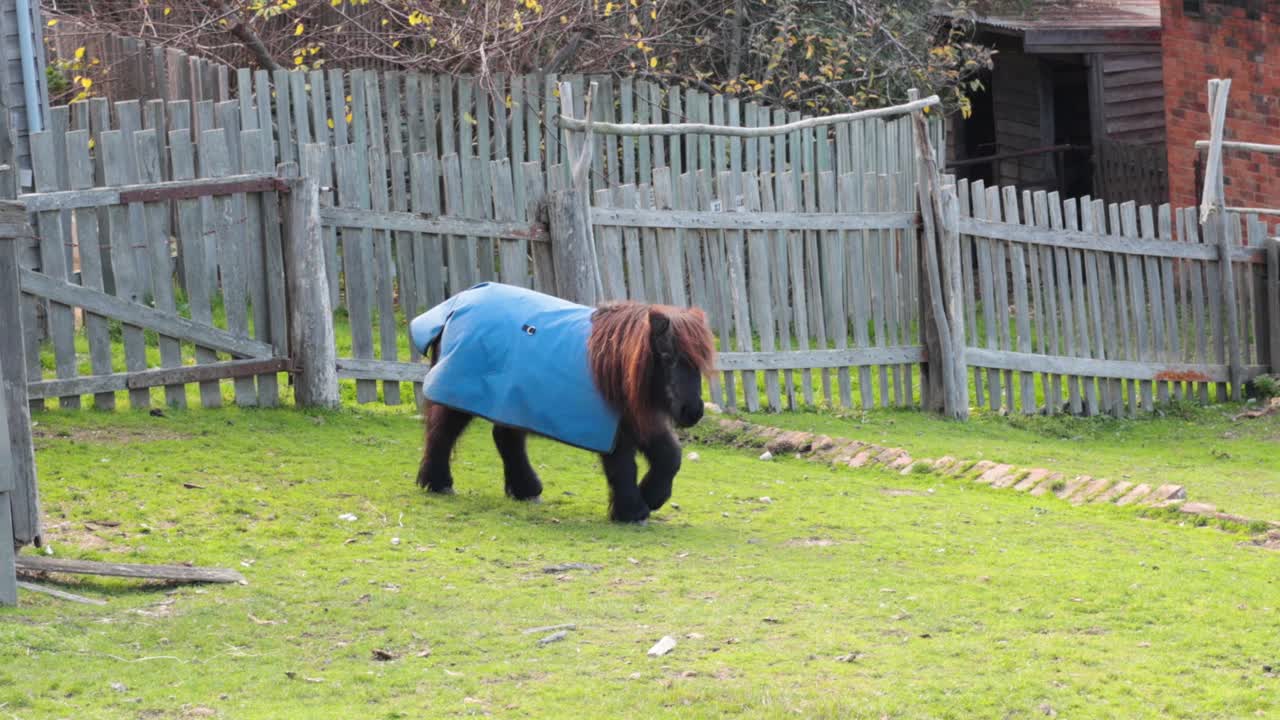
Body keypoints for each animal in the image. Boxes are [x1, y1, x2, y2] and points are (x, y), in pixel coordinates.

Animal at [407, 281, 716, 520]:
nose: (692, 411)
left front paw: (652, 497)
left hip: (511, 399)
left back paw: (526, 490)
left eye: (700, 360)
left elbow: (670, 457)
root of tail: (454, 305)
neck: (615, 363)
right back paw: (438, 482)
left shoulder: (638, 419)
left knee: (506, 439)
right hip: (458, 394)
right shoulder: (612, 426)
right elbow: (622, 466)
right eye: (666, 356)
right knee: (442, 432)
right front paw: (632, 511)